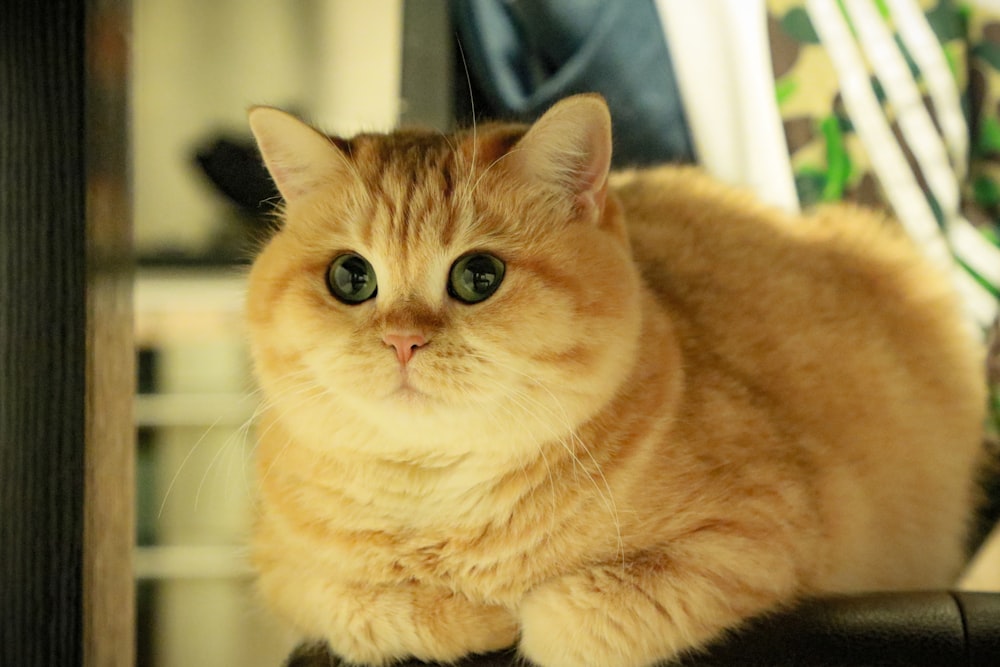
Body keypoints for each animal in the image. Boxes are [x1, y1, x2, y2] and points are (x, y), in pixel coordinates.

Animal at [244, 95, 984, 667]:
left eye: (479, 275)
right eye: (351, 276)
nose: (403, 340)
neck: (440, 500)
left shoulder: (759, 533)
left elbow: (565, 618)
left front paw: (513, 614)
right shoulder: (285, 573)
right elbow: (364, 604)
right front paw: (466, 613)